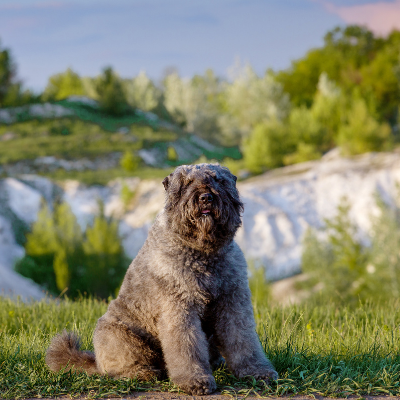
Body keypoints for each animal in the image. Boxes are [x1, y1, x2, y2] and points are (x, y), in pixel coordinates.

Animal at [46, 164, 278, 396]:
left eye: (219, 180)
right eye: (187, 183)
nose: (206, 198)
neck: (204, 253)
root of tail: (94, 360)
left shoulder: (233, 303)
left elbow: (243, 339)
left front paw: (257, 372)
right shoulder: (179, 307)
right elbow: (187, 345)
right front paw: (195, 380)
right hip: (118, 335)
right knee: (120, 366)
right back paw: (143, 372)